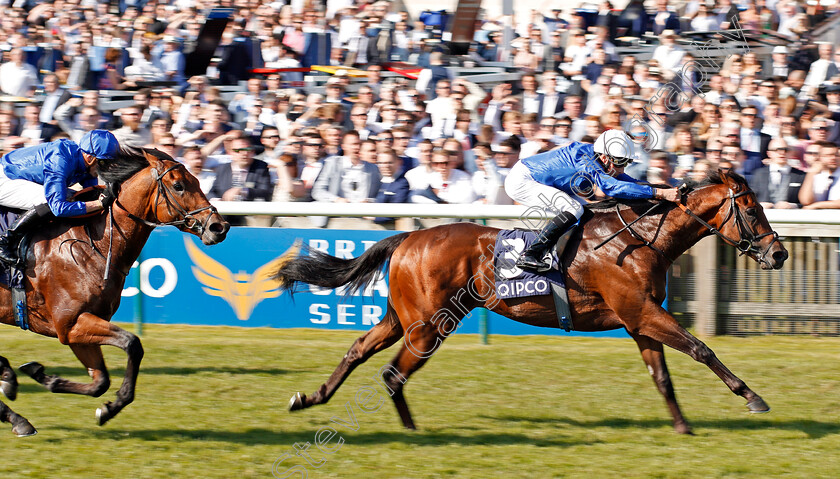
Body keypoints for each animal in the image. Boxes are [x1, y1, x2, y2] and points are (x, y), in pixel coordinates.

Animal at [0, 148, 230, 436]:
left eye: (199, 181)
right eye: (178, 185)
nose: (219, 227)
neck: (91, 244)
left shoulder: (79, 328)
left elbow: (100, 382)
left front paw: (47, 378)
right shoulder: (70, 323)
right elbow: (132, 343)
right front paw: (115, 403)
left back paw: (13, 400)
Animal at [276, 172, 788, 436]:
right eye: (752, 209)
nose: (779, 253)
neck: (641, 238)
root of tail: (408, 237)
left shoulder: (639, 321)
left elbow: (661, 376)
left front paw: (683, 428)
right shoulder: (642, 312)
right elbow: (702, 348)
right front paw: (753, 397)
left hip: (403, 318)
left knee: (359, 352)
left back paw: (310, 399)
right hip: (429, 324)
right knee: (392, 371)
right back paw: (410, 429)